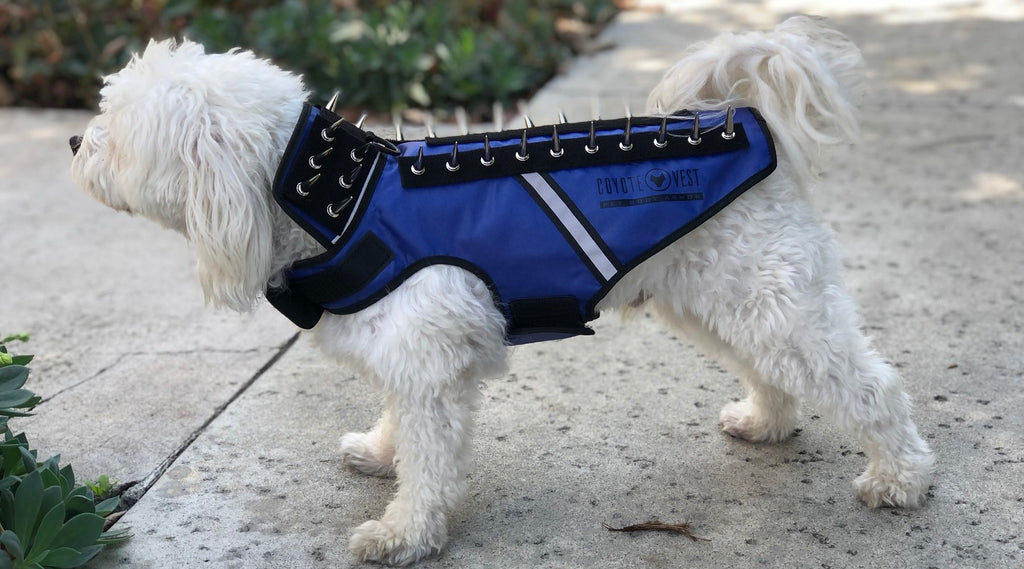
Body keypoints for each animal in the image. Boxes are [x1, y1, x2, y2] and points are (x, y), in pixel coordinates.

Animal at [70, 16, 937, 564]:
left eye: (118, 131)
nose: (76, 139)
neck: (335, 202)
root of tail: (741, 114)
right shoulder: (411, 359)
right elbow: (399, 425)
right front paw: (380, 454)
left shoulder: (431, 370)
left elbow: (430, 461)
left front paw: (404, 534)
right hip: (722, 300)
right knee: (771, 371)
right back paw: (766, 421)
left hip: (774, 300)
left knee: (872, 386)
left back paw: (901, 477)